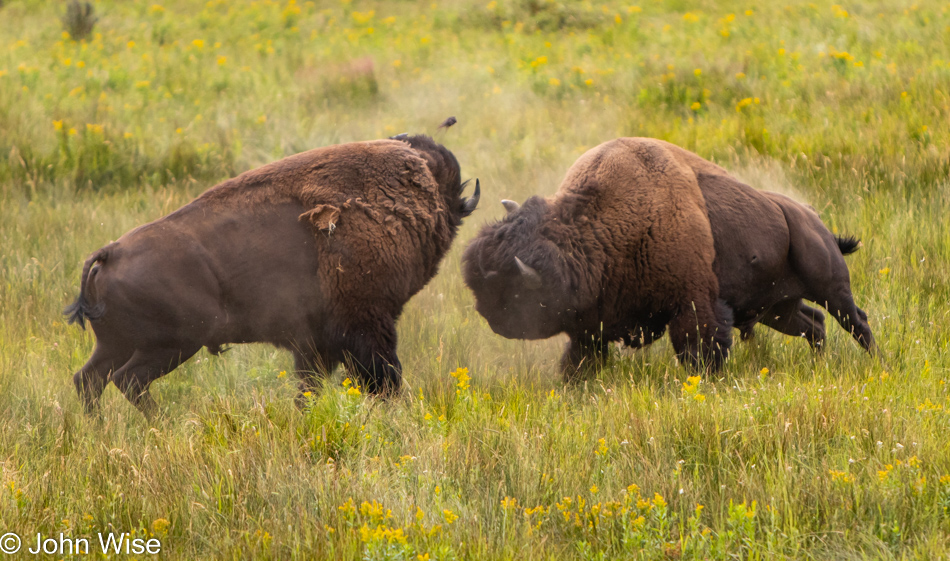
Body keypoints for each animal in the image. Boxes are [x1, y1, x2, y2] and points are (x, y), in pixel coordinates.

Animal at [66, 135, 480, 416]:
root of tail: (111, 254)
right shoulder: (366, 326)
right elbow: (382, 377)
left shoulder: (315, 343)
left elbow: (310, 386)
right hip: (173, 344)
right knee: (127, 380)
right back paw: (164, 421)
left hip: (116, 344)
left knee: (89, 379)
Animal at [464, 137, 872, 378]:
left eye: (515, 292)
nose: (488, 317)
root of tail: (810, 216)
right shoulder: (590, 326)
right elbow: (580, 357)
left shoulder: (694, 304)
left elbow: (700, 347)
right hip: (777, 308)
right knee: (814, 323)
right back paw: (819, 363)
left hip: (831, 286)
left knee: (856, 322)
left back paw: (874, 361)